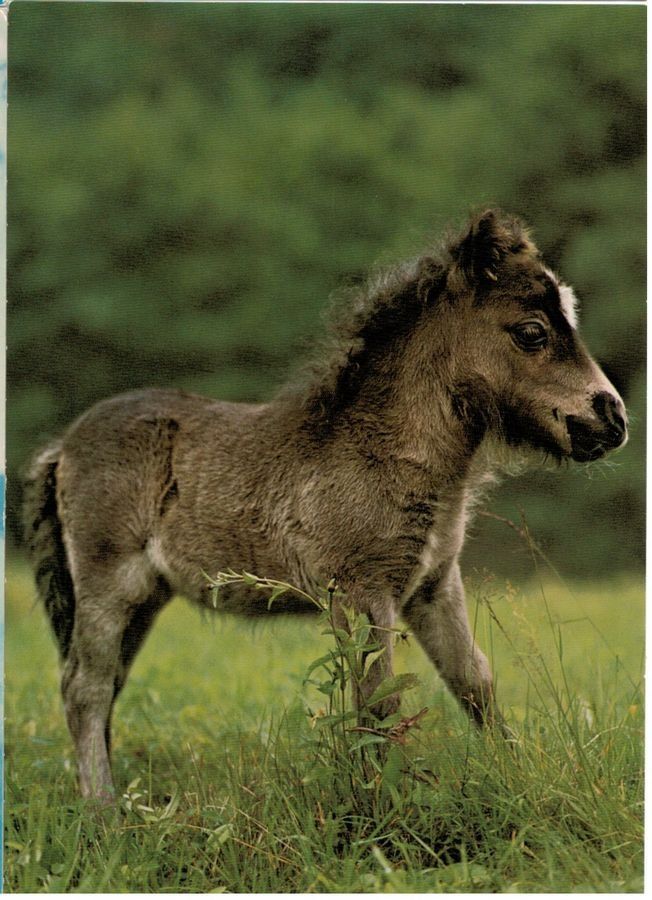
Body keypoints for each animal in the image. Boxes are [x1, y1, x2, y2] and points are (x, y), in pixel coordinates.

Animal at [23, 209, 628, 798]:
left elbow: (474, 683)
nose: (613, 418)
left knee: (107, 684)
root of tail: (62, 447)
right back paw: (103, 809)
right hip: (108, 582)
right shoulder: (362, 594)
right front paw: (382, 807)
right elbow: (380, 705)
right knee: (85, 687)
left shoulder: (433, 586)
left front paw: (515, 778)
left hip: (146, 596)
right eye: (532, 332)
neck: (381, 452)